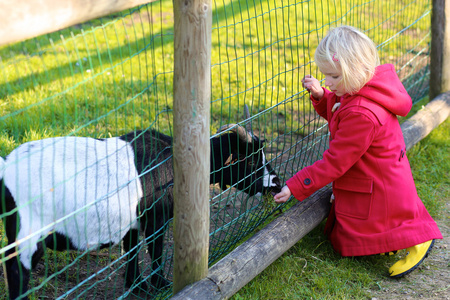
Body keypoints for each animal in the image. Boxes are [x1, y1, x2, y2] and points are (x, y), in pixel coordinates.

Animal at [0, 116, 282, 298]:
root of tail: (6, 168)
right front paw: (160, 284)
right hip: (27, 236)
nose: (276, 183)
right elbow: (155, 250)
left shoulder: (132, 221)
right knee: (16, 271)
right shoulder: (156, 218)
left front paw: (137, 286)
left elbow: (132, 251)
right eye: (251, 160)